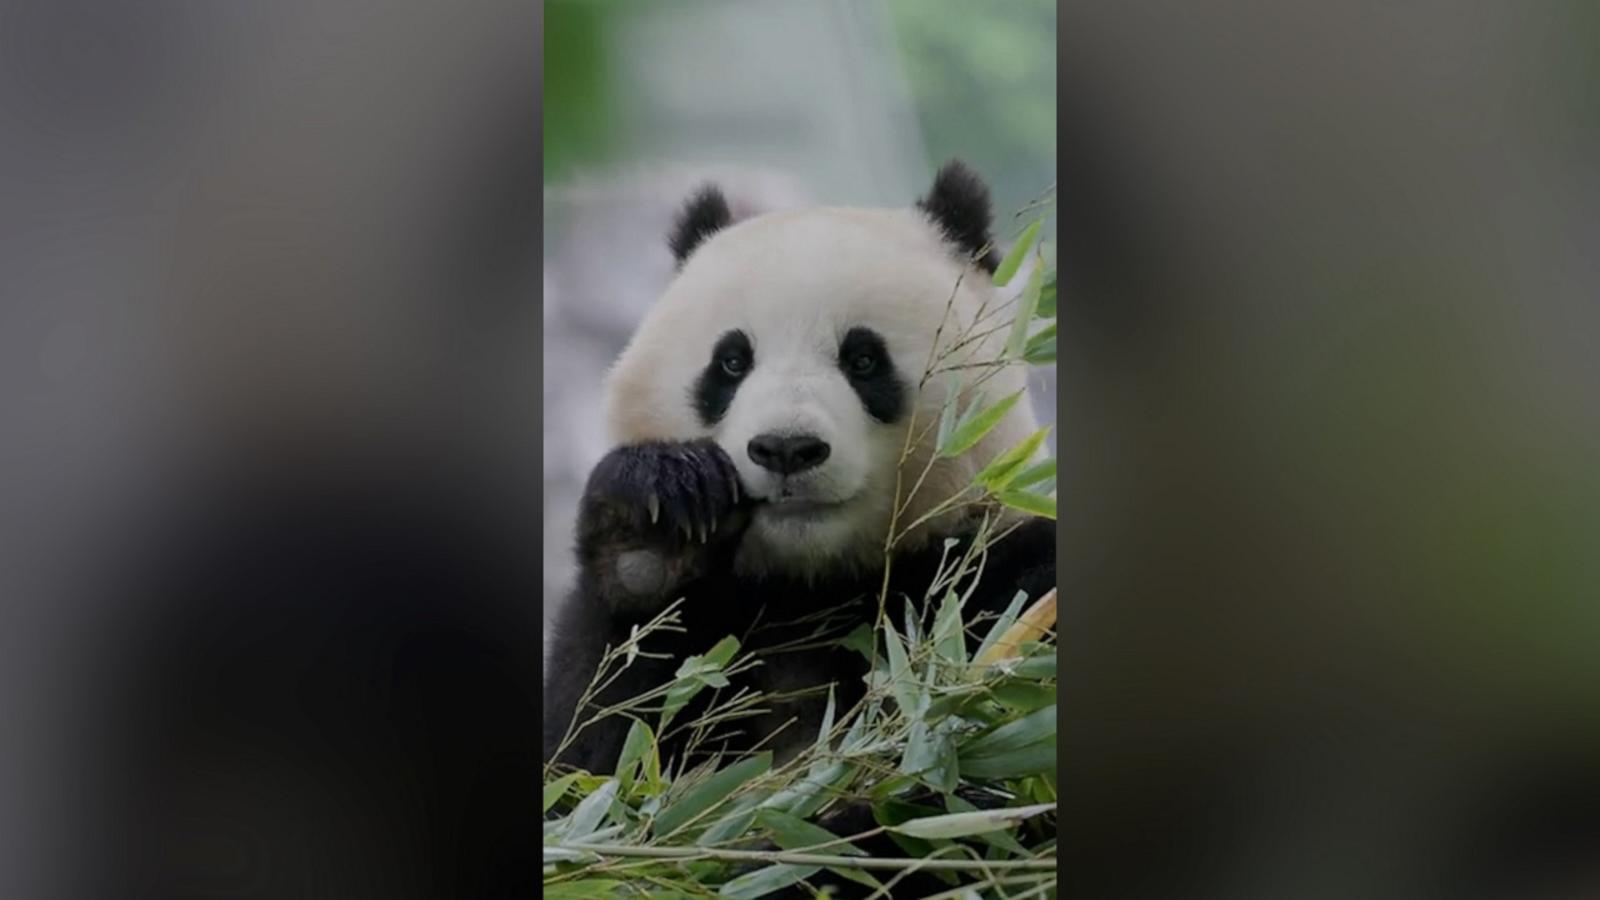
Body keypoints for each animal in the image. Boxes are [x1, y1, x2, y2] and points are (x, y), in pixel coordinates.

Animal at [544, 159, 1056, 771]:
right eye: (731, 362)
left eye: (863, 359)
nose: (786, 448)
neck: (809, 586)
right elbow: (598, 741)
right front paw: (654, 531)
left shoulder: (985, 577)